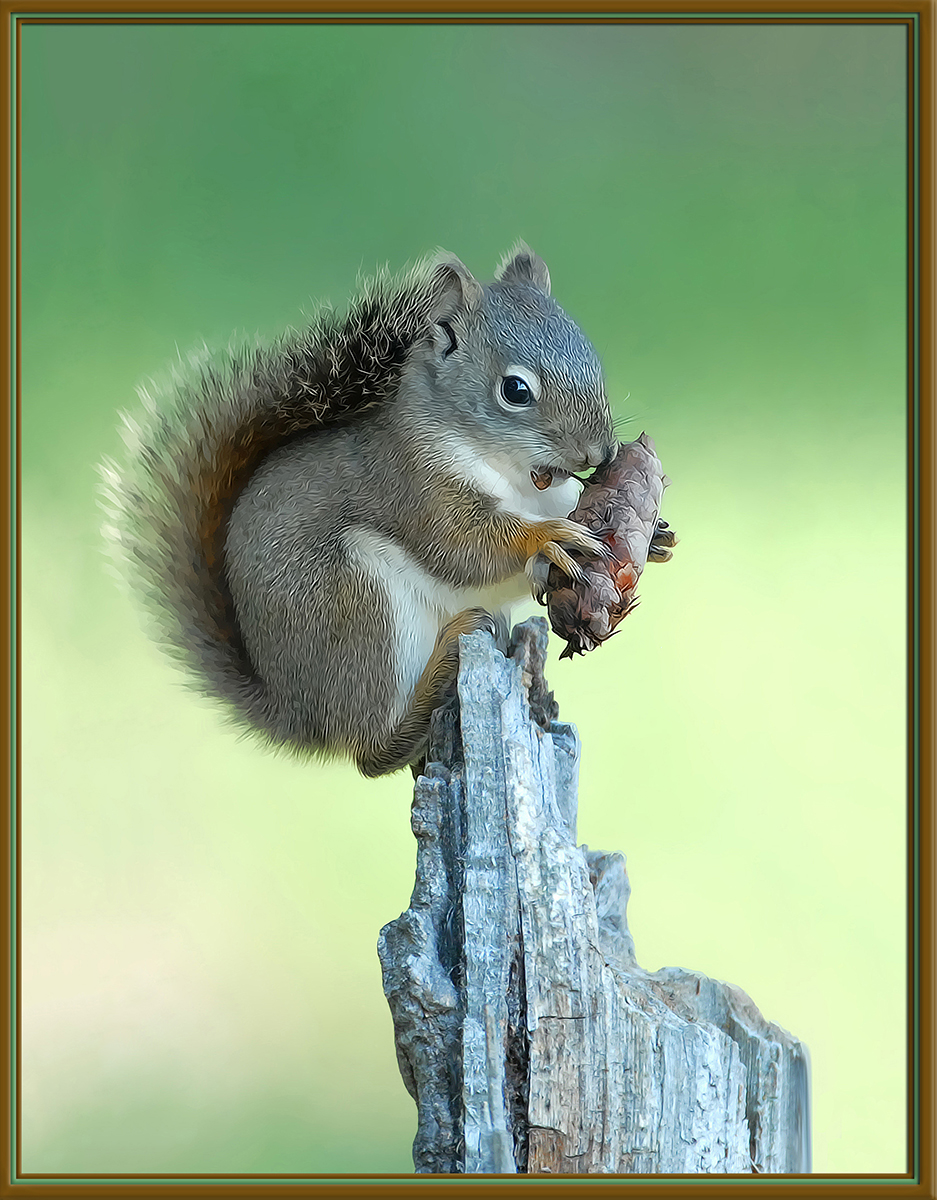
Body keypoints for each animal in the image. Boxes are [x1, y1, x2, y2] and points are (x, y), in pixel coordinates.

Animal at [104, 244, 624, 778]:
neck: (522, 480)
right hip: (354, 603)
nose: (600, 452)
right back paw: (439, 668)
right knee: (371, 754)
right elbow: (464, 548)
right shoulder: (415, 487)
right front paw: (548, 539)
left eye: (593, 360)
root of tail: (298, 713)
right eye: (515, 390)